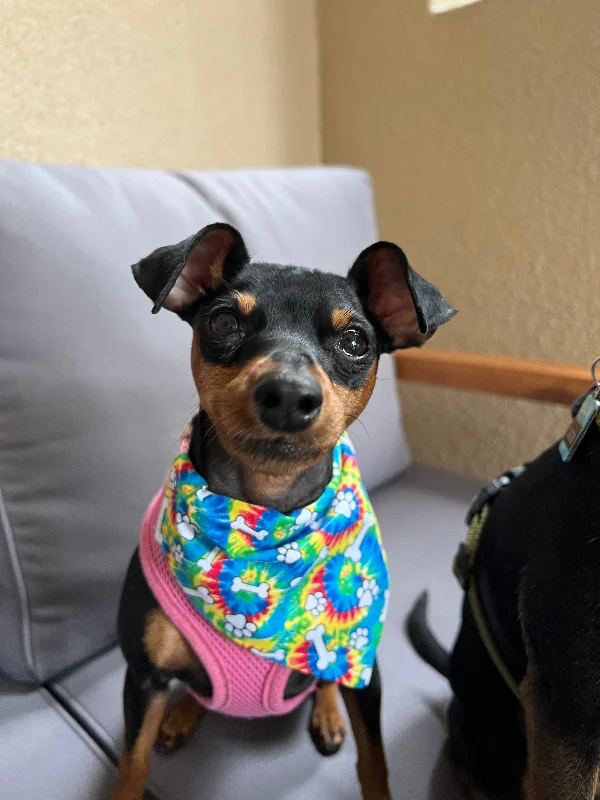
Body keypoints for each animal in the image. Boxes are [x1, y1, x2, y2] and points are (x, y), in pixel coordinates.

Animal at [110, 223, 454, 800]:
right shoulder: (144, 678)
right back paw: (180, 716)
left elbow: (375, 762)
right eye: (224, 322)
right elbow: (132, 767)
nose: (289, 394)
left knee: (323, 680)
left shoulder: (366, 672)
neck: (263, 515)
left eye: (355, 342)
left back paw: (327, 712)